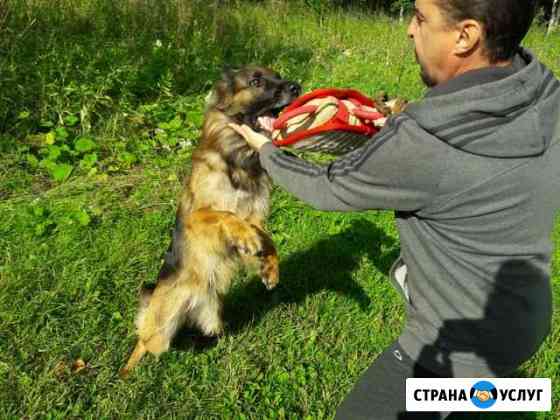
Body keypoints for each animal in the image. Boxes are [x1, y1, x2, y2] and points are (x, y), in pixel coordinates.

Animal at [120, 66, 300, 378]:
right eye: (255, 81)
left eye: (277, 75)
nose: (297, 87)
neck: (238, 157)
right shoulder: (196, 217)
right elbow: (225, 215)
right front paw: (247, 239)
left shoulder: (256, 215)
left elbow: (269, 240)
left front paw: (270, 268)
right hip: (161, 327)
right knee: (144, 341)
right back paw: (127, 372)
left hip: (212, 317)